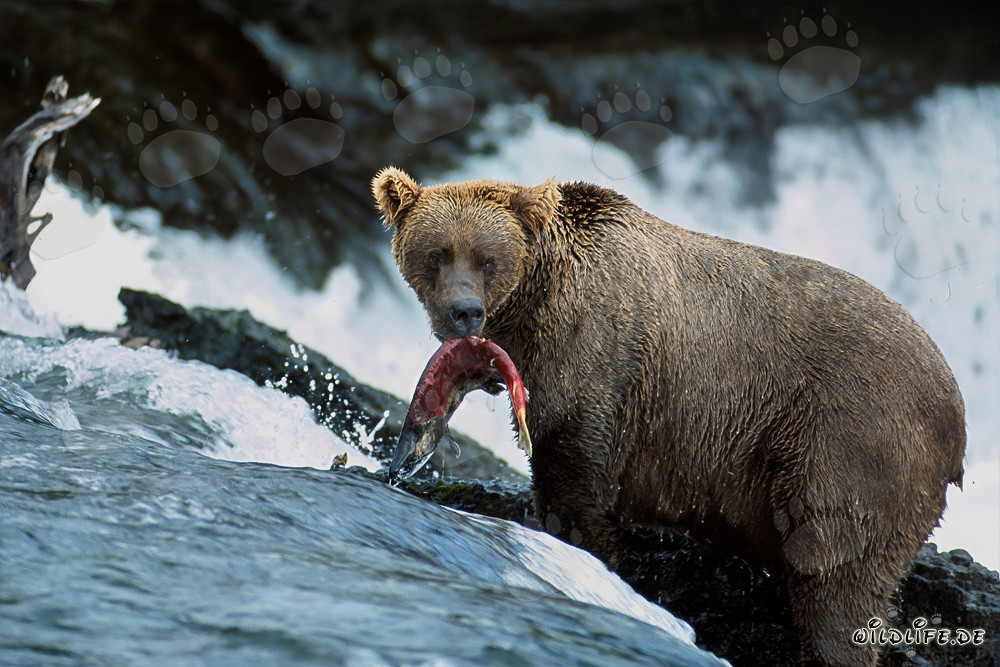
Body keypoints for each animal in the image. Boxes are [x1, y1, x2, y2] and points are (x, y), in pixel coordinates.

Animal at [372, 166, 966, 667]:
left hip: (849, 440)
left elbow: (578, 490)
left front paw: (588, 557)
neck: (535, 308)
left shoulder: (597, 363)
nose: (465, 311)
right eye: (436, 254)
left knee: (834, 573)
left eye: (487, 258)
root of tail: (957, 409)